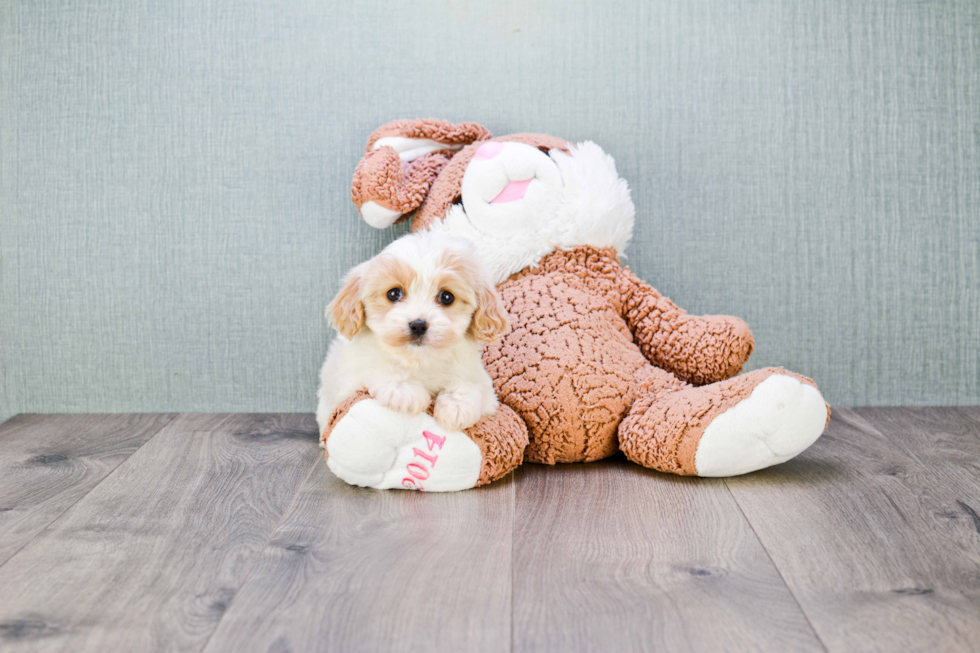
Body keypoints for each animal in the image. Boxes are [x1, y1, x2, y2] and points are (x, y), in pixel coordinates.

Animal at [316, 229, 512, 438]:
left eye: (447, 297)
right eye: (394, 294)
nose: (418, 325)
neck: (418, 358)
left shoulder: (483, 386)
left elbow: (470, 385)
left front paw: (457, 407)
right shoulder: (350, 380)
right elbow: (376, 370)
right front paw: (405, 391)